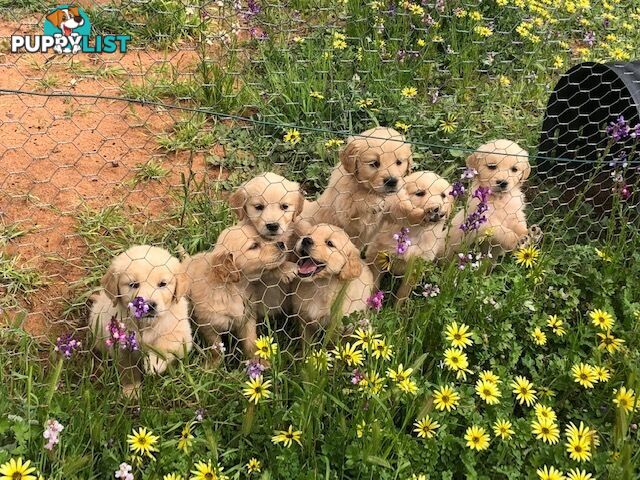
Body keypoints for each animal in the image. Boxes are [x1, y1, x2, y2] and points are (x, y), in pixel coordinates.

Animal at [184, 223, 292, 362]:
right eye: (254, 246)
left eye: (264, 239)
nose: (281, 244)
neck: (233, 289)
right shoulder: (207, 324)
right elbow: (216, 347)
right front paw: (213, 364)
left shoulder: (247, 318)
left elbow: (250, 342)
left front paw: (260, 361)